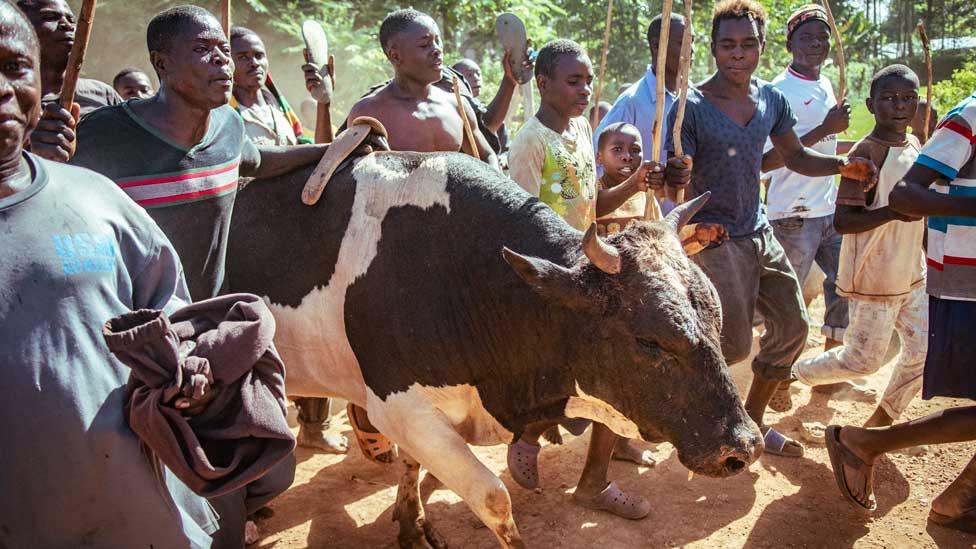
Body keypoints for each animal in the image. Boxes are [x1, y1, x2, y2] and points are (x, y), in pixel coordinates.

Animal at [227, 153, 764, 548]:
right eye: (650, 340)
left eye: (716, 317)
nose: (743, 446)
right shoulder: (399, 406)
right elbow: (493, 498)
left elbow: (412, 465)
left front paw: (411, 524)